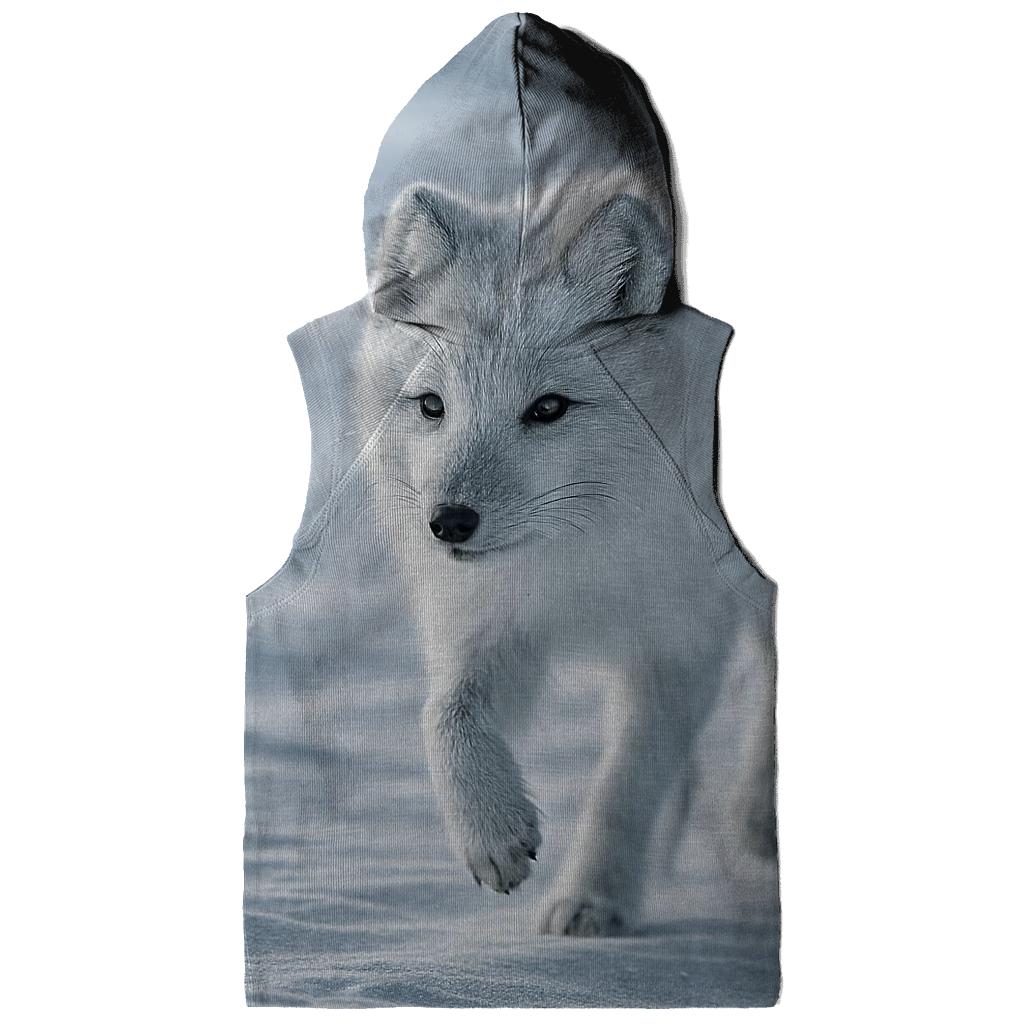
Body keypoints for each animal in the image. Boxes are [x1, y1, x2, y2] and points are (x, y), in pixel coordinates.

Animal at [368, 186, 777, 937]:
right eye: (432, 405)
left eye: (549, 407)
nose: (448, 524)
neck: (581, 562)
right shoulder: (495, 622)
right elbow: (444, 715)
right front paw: (493, 835)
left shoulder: (679, 642)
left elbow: (626, 781)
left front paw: (591, 903)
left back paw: (755, 819)